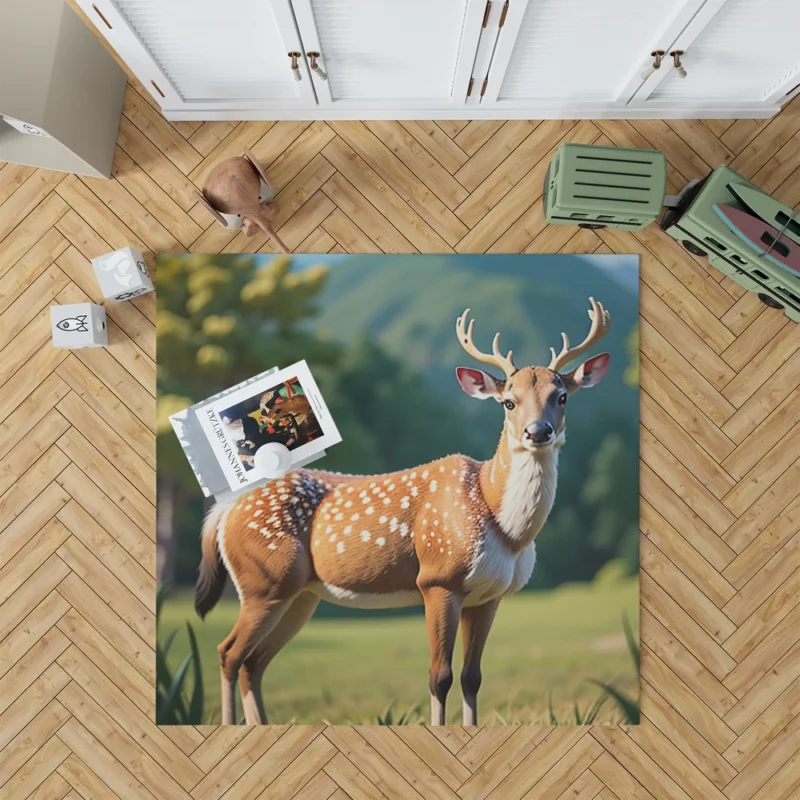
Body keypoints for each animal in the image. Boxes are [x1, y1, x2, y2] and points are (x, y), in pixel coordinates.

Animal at [195, 298, 612, 724]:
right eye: (508, 401)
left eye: (562, 396)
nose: (538, 431)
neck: (502, 523)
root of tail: (223, 512)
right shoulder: (437, 578)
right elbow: (439, 677)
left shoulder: (488, 596)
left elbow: (472, 678)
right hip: (263, 580)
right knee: (228, 653)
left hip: (299, 594)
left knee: (253, 662)